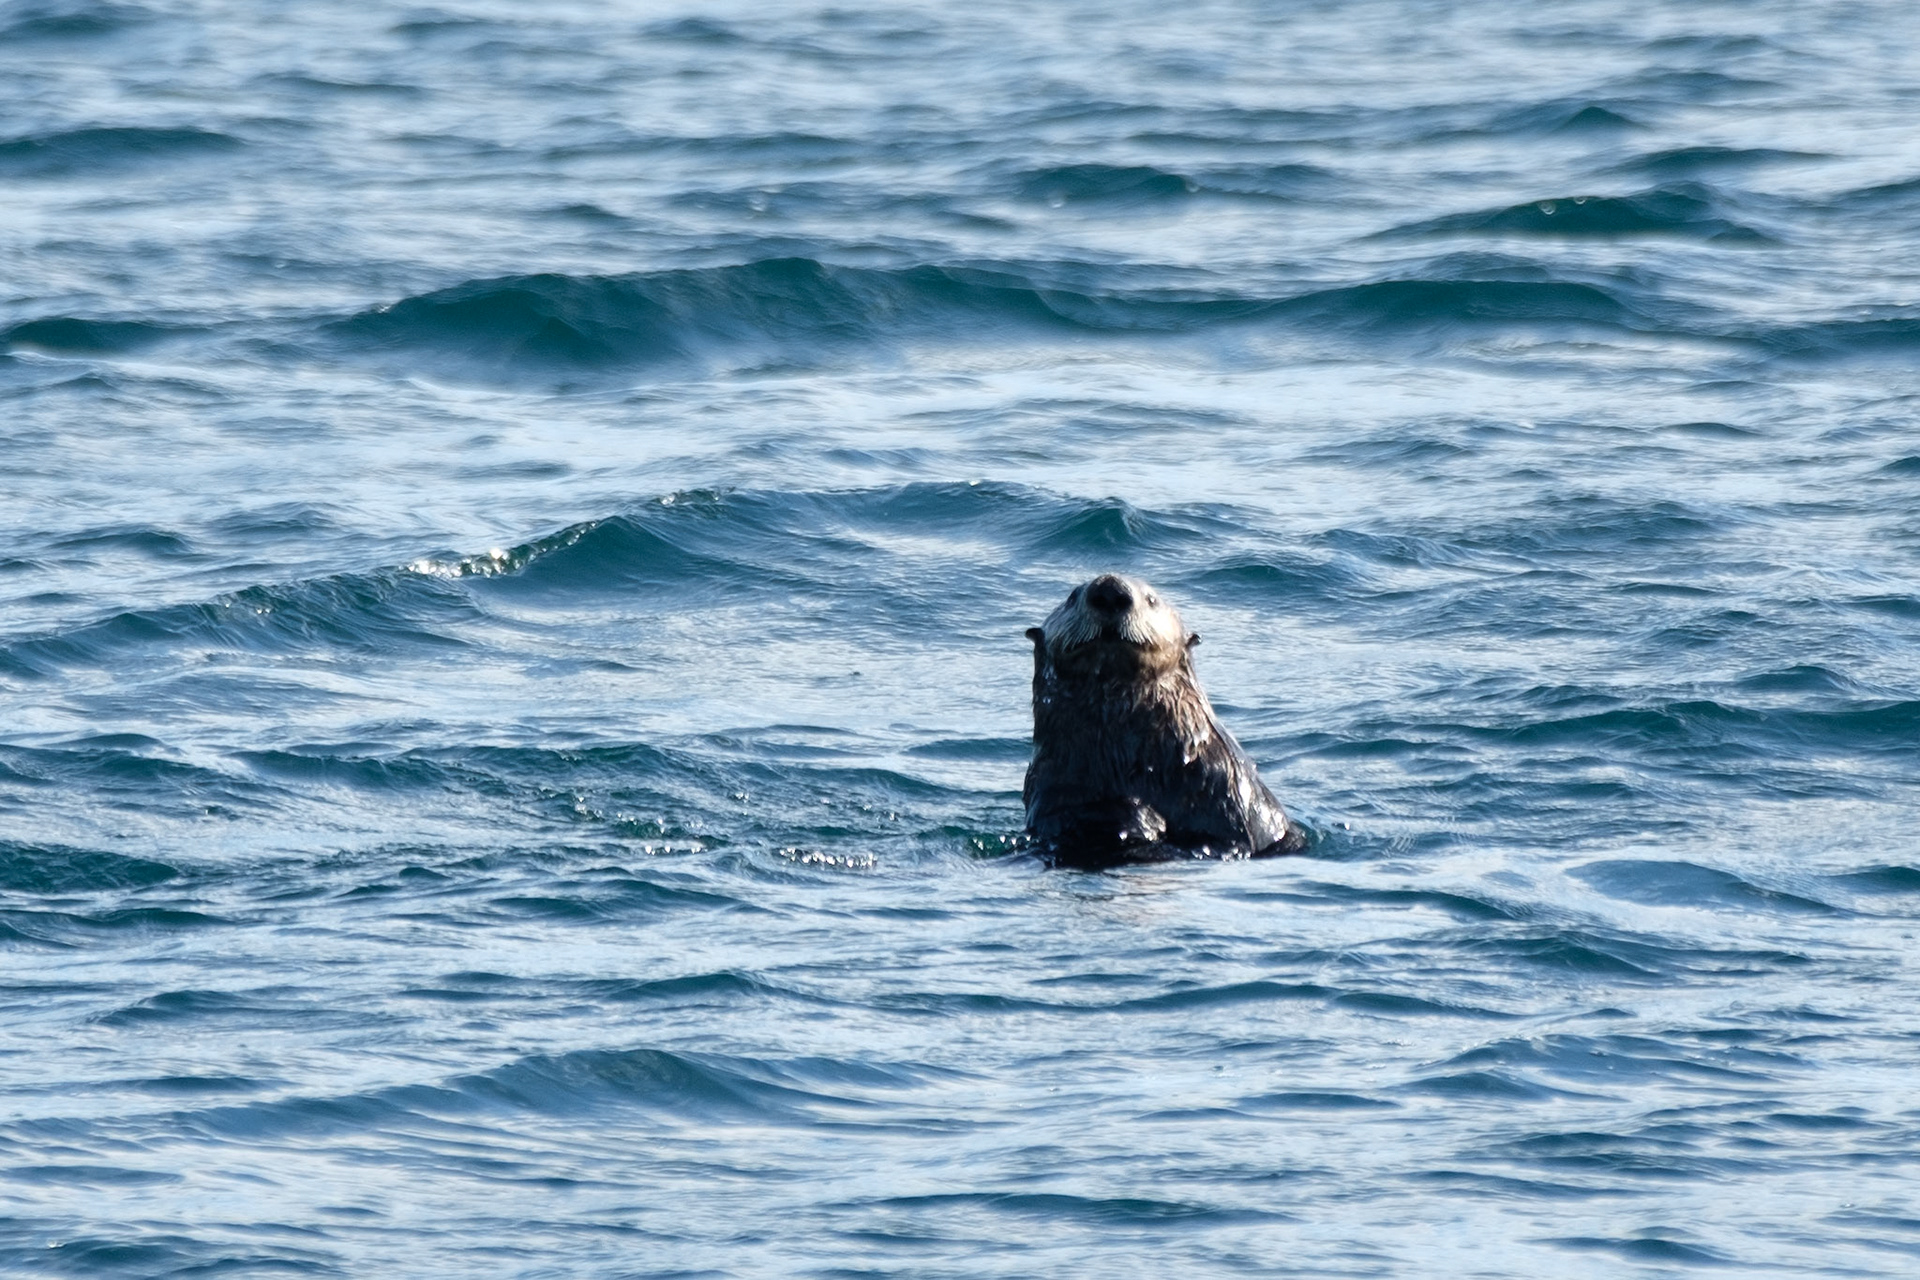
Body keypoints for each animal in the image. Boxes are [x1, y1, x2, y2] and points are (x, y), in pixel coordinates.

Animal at [1024, 573, 1305, 867]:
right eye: (1072, 597)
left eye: (1151, 599)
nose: (1110, 591)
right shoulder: (1050, 787)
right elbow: (1068, 818)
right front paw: (1139, 815)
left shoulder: (1226, 790)